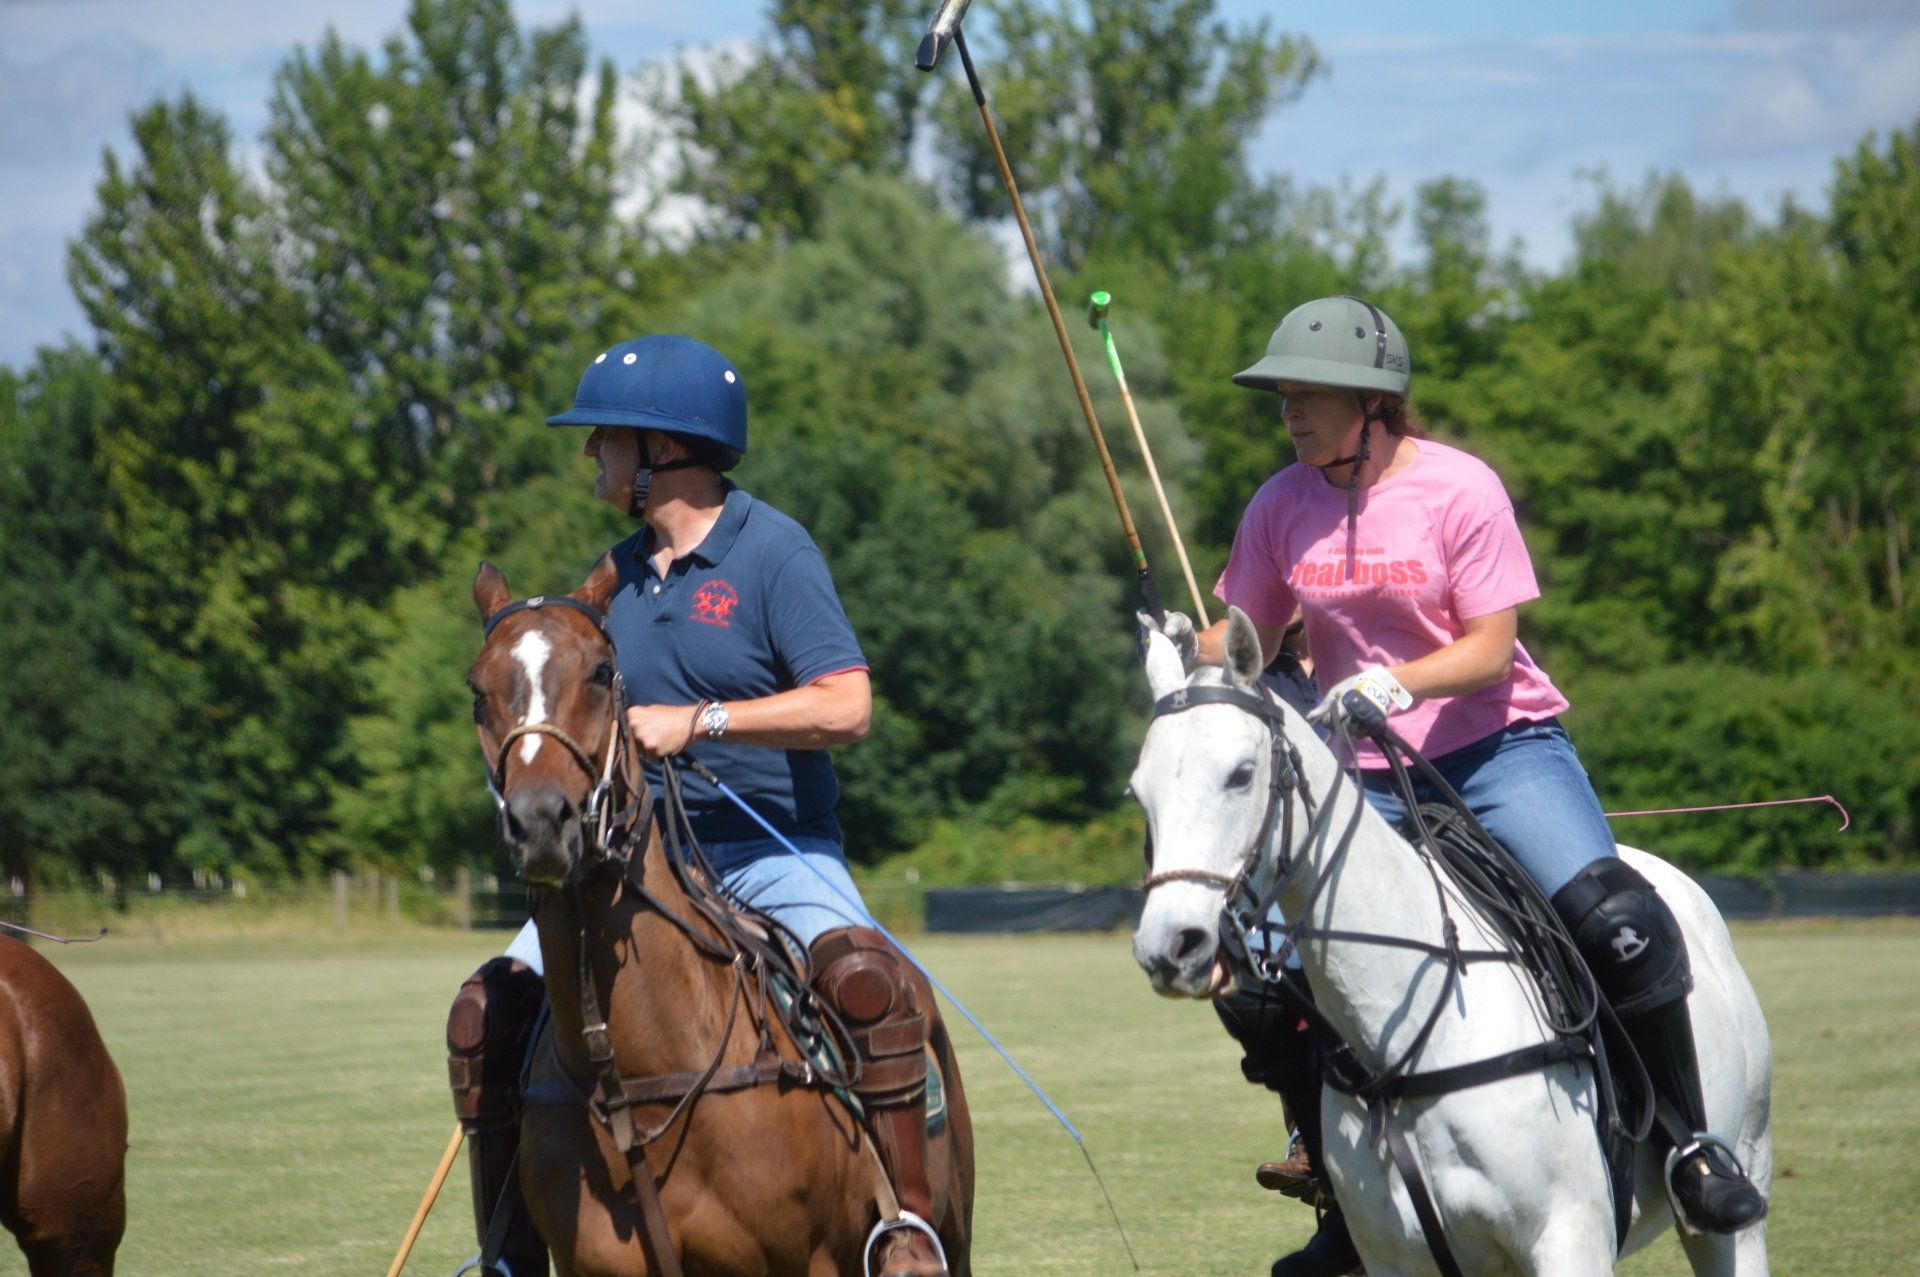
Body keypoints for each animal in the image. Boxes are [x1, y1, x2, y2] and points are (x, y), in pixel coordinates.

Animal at [1128, 609, 1771, 1277]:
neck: (1407, 1040)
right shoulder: (1393, 1257)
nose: (1170, 946)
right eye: (1138, 791)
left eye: (1241, 775)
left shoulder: (1570, 1239)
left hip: (1741, 1181)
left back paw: (1708, 1179)